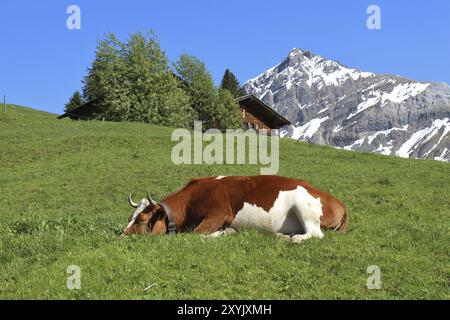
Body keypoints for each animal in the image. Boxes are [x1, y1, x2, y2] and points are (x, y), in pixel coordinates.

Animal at [122, 175, 348, 242]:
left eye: (141, 220)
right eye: (129, 217)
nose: (121, 236)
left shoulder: (220, 213)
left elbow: (195, 234)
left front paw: (224, 233)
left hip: (304, 206)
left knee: (315, 234)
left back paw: (295, 239)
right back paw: (282, 236)